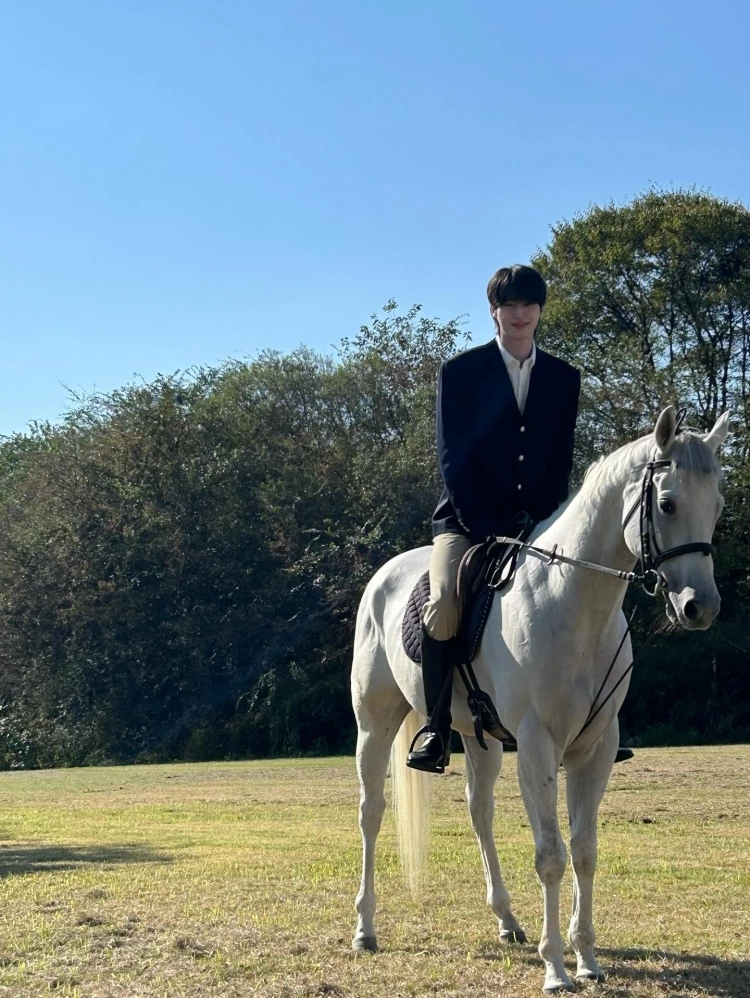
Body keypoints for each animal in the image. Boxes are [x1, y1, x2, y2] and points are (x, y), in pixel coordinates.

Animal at [350, 405, 729, 993]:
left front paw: (588, 958)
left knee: (479, 812)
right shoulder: (536, 745)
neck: (573, 603)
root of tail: (383, 576)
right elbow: (551, 854)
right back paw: (365, 929)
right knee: (371, 813)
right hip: (375, 724)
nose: (700, 607)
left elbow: (585, 851)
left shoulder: (595, 749)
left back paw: (507, 921)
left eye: (718, 507)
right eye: (667, 503)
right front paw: (555, 968)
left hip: (478, 738)